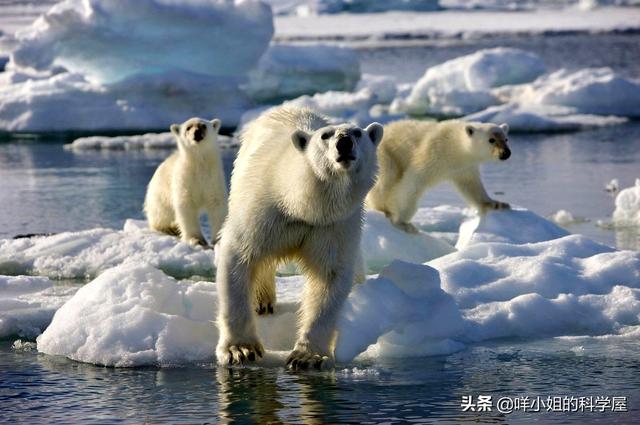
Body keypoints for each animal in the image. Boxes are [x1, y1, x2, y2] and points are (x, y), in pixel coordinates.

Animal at [144, 117, 228, 247]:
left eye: (203, 125)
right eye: (188, 127)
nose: (197, 132)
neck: (199, 164)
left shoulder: (213, 179)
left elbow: (217, 205)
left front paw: (219, 239)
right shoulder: (184, 180)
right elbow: (186, 206)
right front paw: (196, 239)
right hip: (159, 195)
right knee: (161, 213)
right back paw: (169, 228)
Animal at [218, 106, 382, 368]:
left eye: (357, 132)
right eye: (325, 136)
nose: (344, 142)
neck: (301, 205)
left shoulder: (333, 226)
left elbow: (329, 277)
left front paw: (307, 356)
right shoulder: (264, 211)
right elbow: (239, 257)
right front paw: (240, 350)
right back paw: (261, 302)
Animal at [364, 118, 510, 232]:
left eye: (506, 139)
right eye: (491, 140)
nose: (506, 153)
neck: (455, 145)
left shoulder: (464, 168)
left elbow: (472, 186)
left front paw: (497, 204)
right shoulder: (433, 152)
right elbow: (412, 182)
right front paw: (402, 222)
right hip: (385, 154)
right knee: (386, 179)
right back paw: (383, 209)